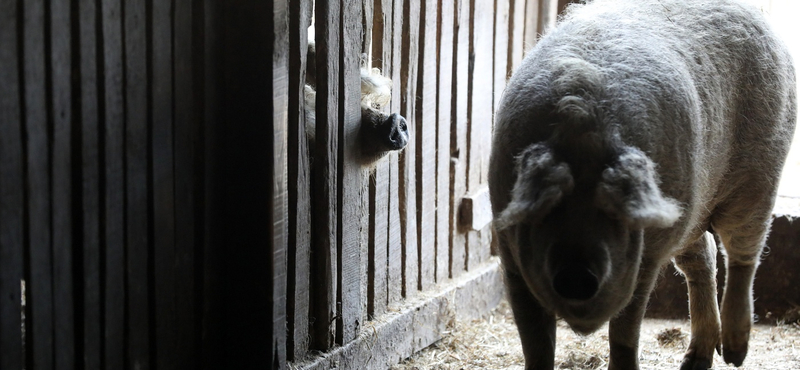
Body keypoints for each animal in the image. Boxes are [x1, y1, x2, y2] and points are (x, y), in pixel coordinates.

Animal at [488, 0, 792, 370]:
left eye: (614, 211)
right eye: (550, 207)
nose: (577, 275)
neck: (582, 139)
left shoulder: (646, 258)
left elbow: (624, 331)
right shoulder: (510, 255)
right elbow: (535, 343)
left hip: (761, 173)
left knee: (743, 251)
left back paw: (735, 354)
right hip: (688, 207)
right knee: (702, 259)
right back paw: (695, 361)